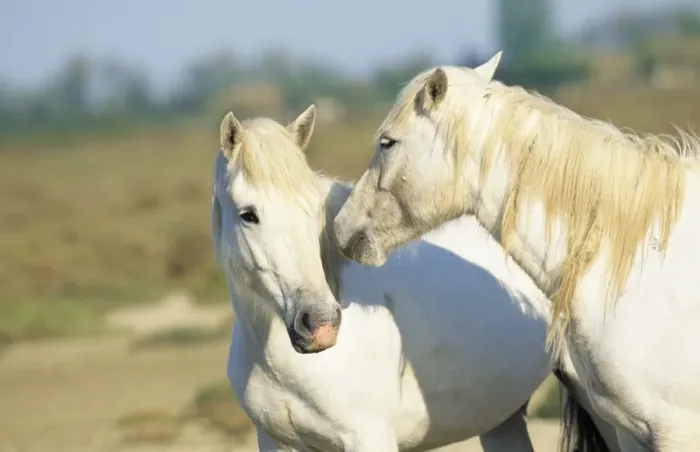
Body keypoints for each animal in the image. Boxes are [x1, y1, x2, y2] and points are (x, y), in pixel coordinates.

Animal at [212, 105, 619, 451]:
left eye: (315, 210)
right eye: (248, 215)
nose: (321, 324)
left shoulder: (368, 439)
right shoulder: (275, 442)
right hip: (502, 418)